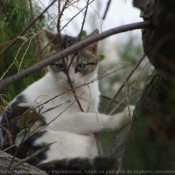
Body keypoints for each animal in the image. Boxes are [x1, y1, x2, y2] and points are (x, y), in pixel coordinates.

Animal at [0, 29, 134, 174]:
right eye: (60, 66)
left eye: (80, 66)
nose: (71, 80)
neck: (80, 90)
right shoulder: (61, 117)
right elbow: (95, 120)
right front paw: (122, 117)